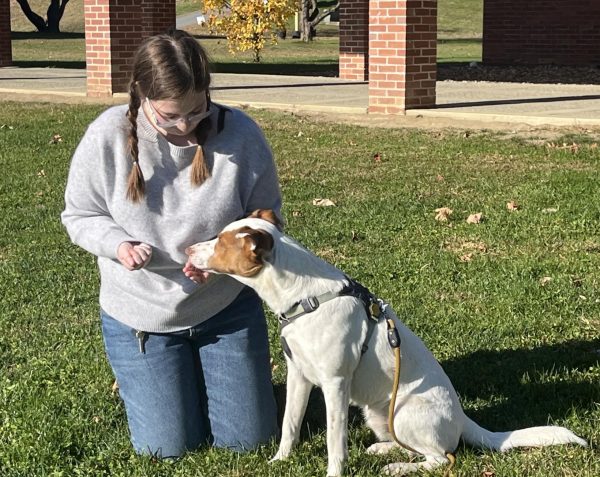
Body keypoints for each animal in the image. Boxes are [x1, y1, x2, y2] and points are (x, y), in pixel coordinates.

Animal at [186, 209, 584, 476]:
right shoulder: (299, 375)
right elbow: (289, 426)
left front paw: (333, 473)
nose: (188, 250)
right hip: (379, 414)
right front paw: (280, 461)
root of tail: (462, 419)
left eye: (219, 242)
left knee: (440, 458)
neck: (305, 298)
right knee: (413, 448)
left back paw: (398, 467)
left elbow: (334, 442)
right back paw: (382, 450)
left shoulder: (334, 384)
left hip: (404, 412)